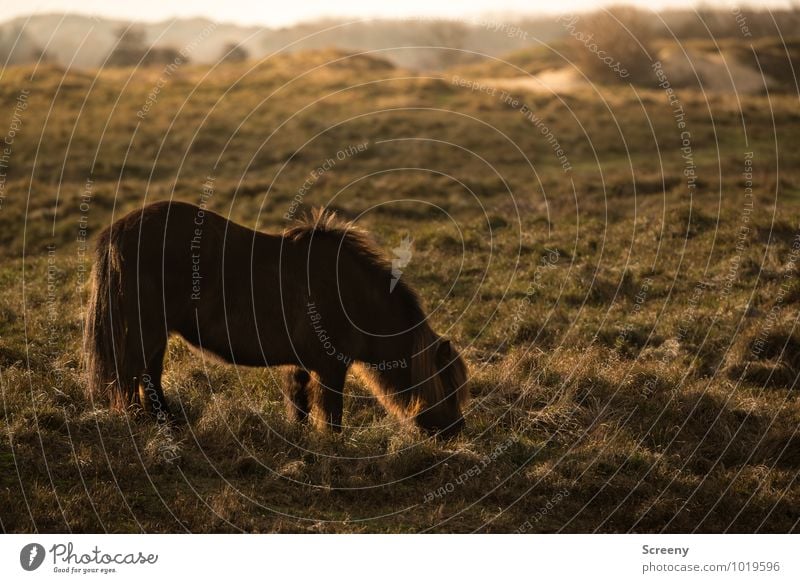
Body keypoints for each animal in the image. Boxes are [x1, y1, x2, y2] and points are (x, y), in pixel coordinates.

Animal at [83, 203, 468, 436]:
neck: (352, 294)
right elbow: (332, 415)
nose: (456, 433)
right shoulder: (331, 369)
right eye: (448, 387)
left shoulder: (301, 365)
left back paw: (167, 422)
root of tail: (120, 229)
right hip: (146, 330)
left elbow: (299, 405)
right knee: (134, 376)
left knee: (148, 376)